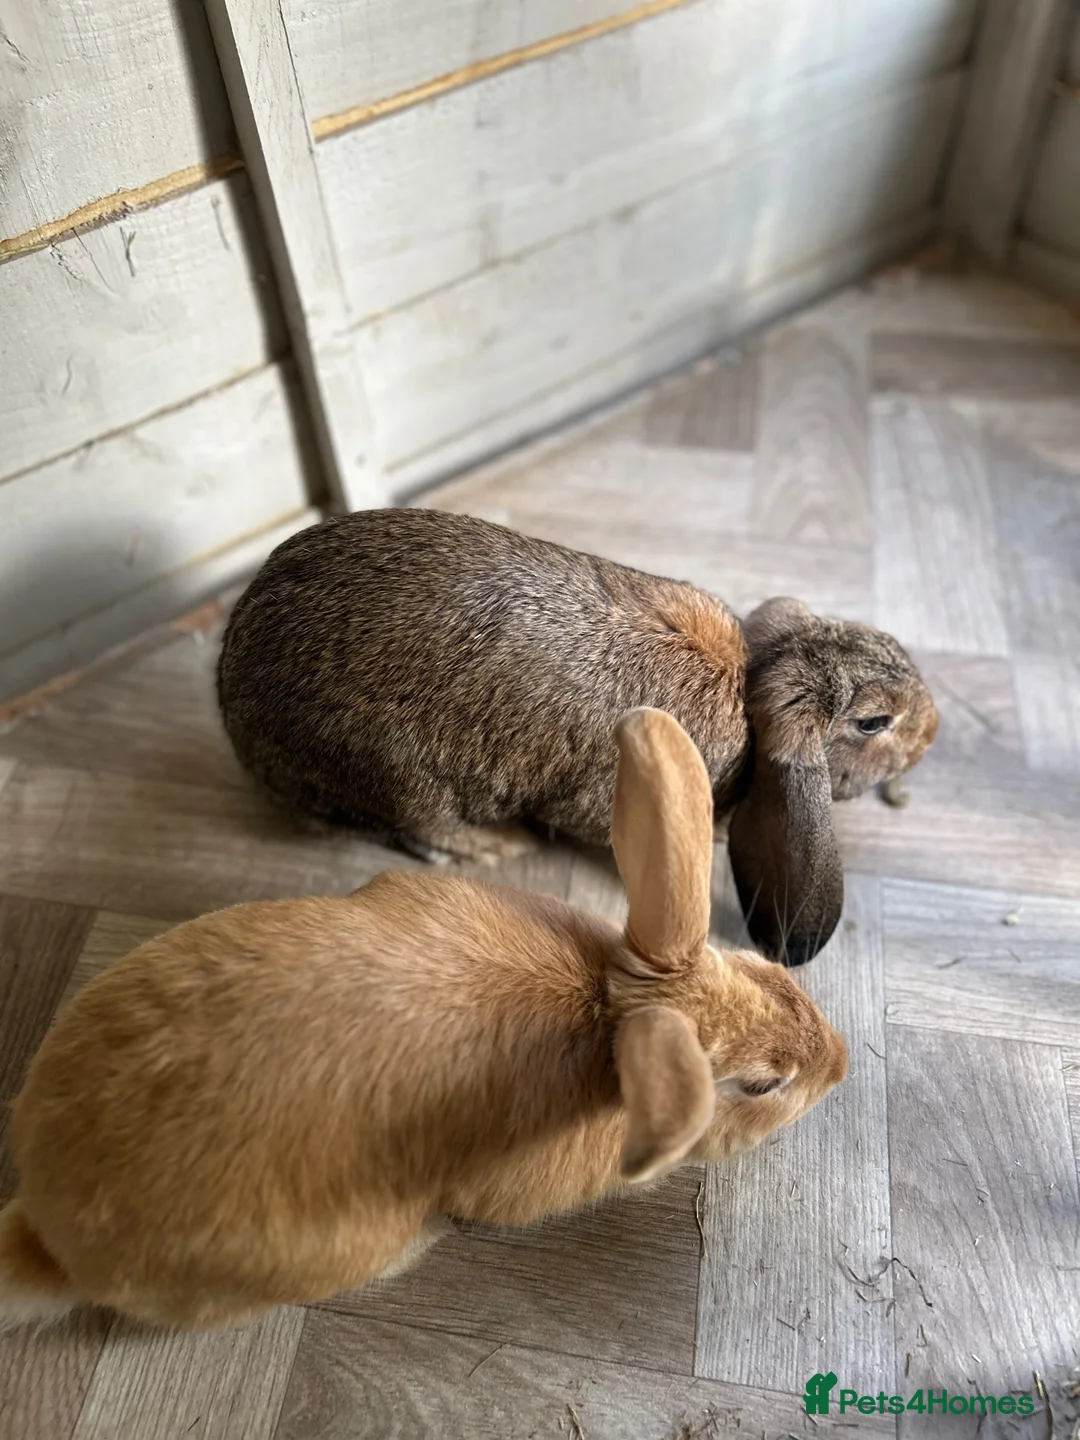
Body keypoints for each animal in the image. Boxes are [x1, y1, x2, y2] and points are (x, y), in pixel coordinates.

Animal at [217, 508, 938, 965]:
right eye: (874, 723)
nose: (932, 730)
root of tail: (238, 724)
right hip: (398, 777)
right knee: (420, 832)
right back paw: (497, 844)